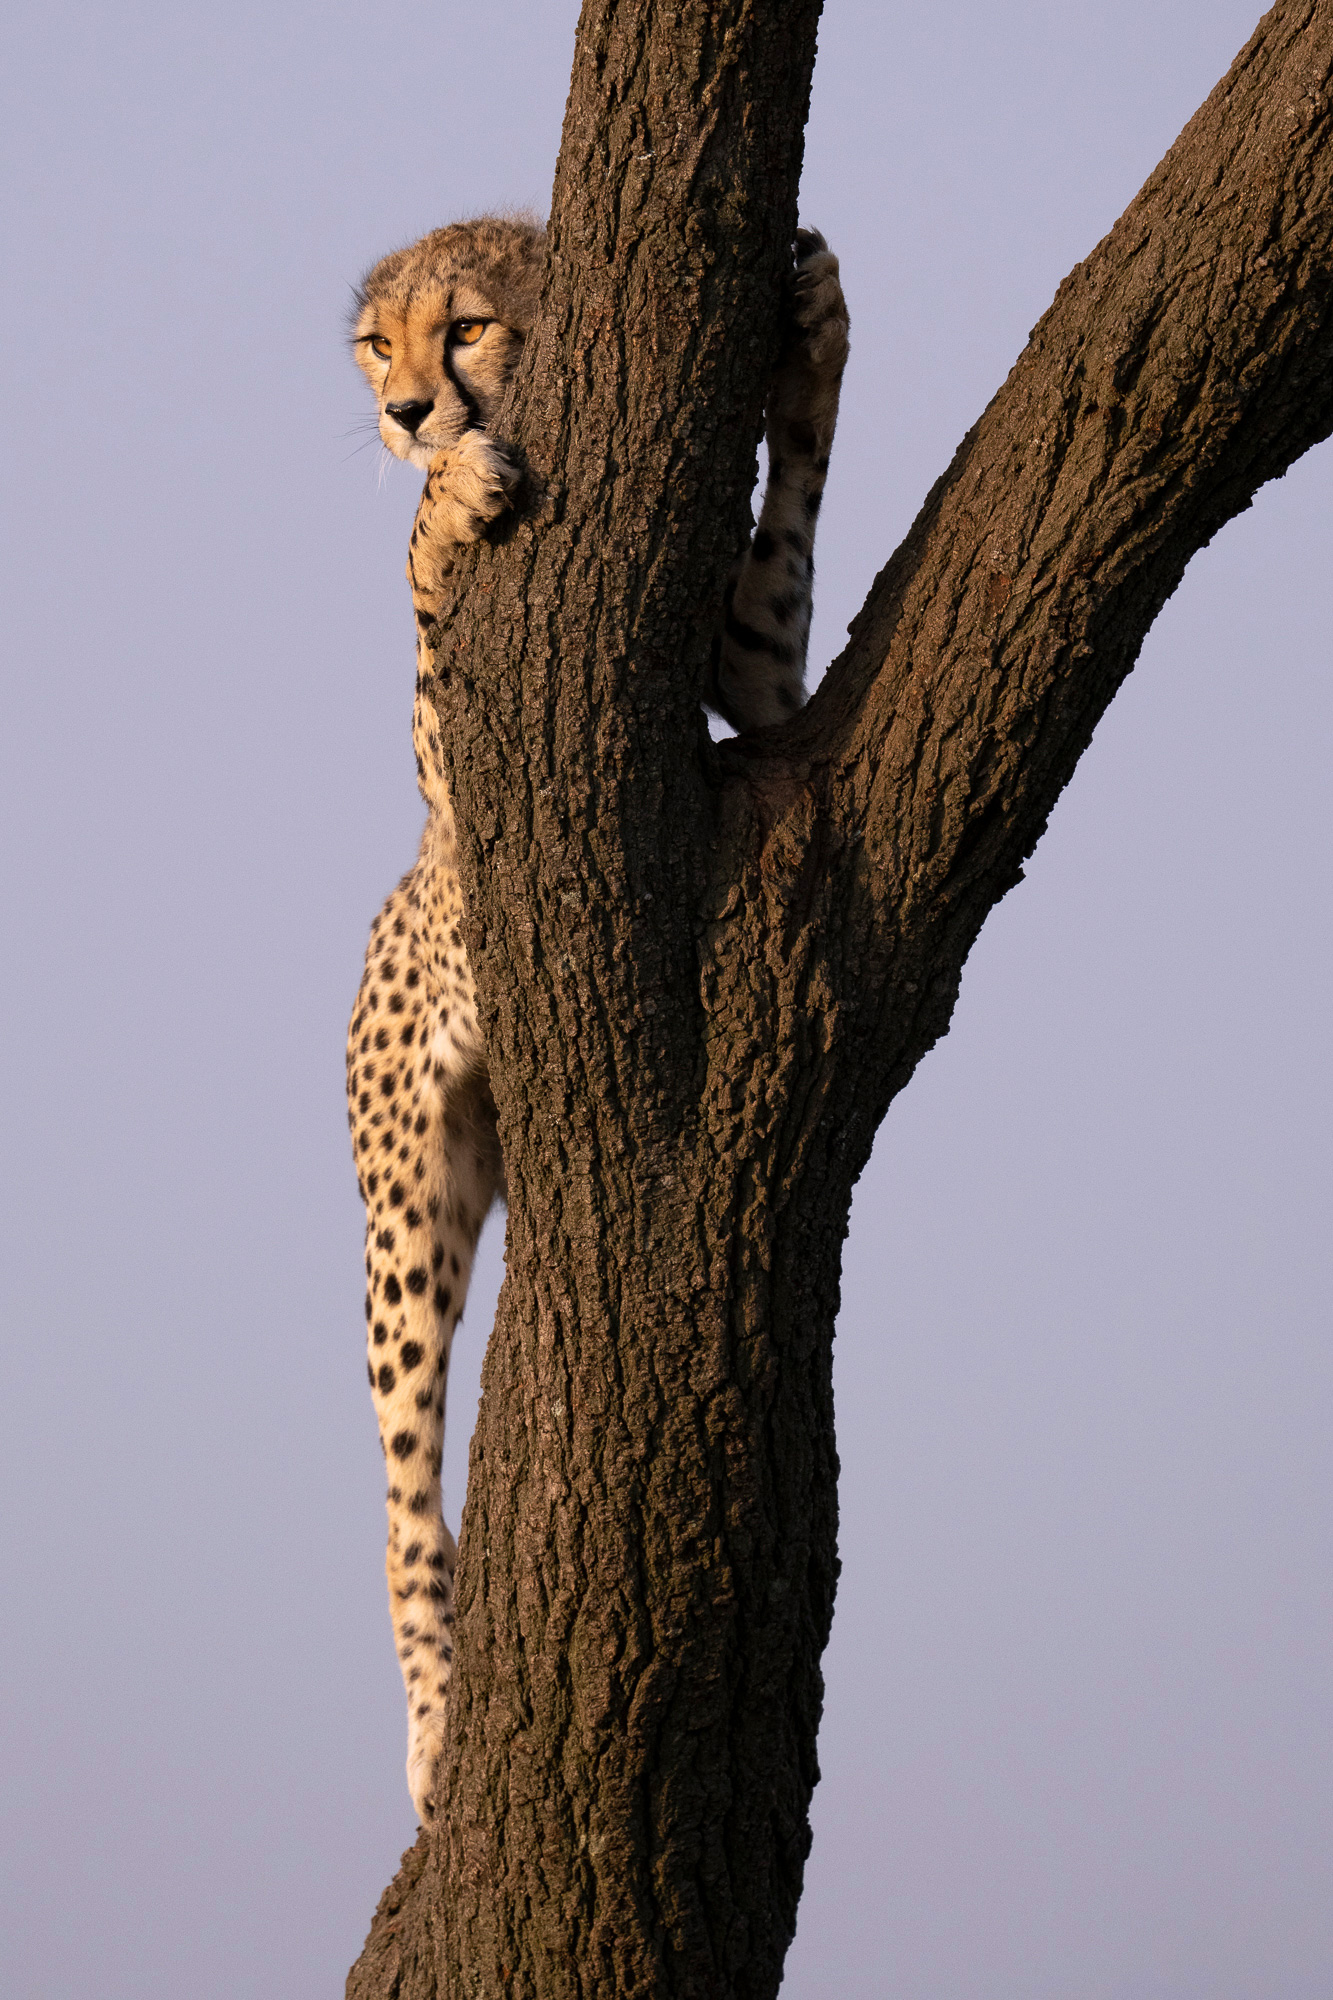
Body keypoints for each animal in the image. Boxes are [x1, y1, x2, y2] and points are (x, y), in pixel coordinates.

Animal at [347, 213, 849, 1824]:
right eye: (379, 344)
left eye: (469, 327)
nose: (406, 413)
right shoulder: (466, 766)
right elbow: (429, 602)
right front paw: (444, 503)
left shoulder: (759, 683)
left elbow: (782, 564)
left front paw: (812, 329)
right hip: (408, 1213)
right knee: (403, 1491)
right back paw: (435, 1724)